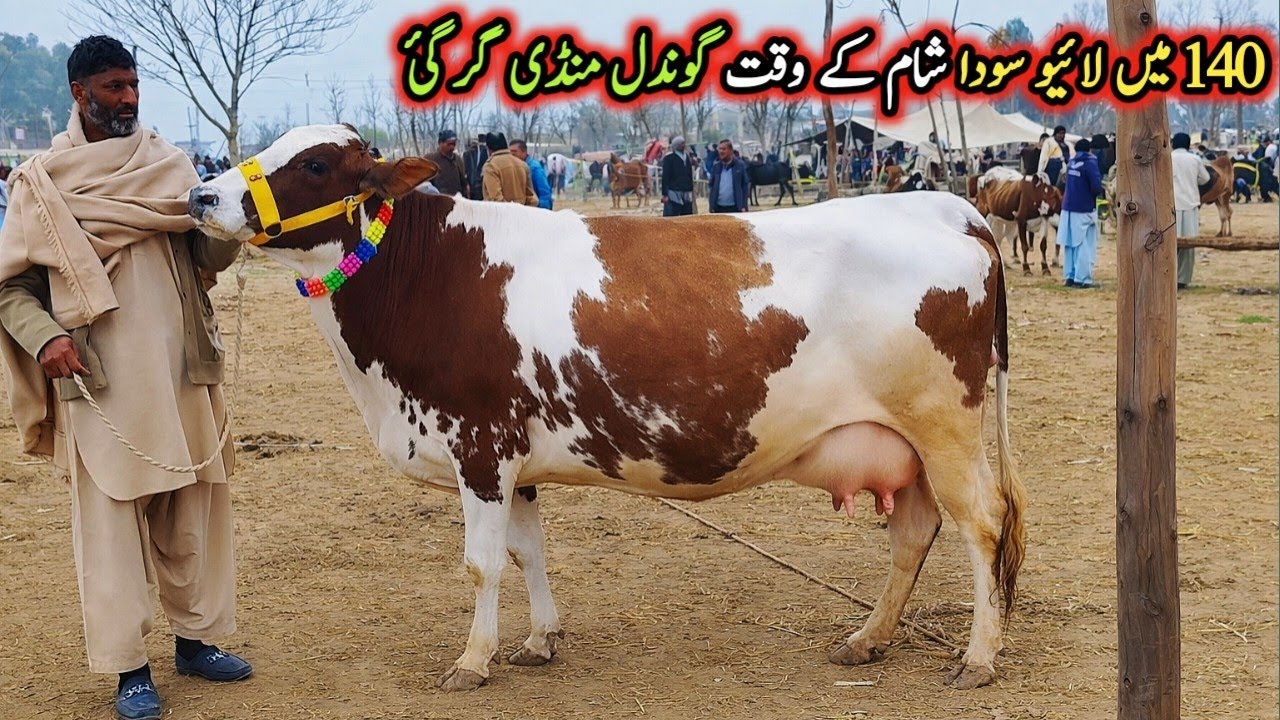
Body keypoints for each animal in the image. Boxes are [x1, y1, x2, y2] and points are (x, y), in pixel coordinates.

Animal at [188, 125, 1026, 693]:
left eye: (314, 163)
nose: (200, 195)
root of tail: (948, 207)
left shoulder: (480, 447)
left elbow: (481, 562)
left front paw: (472, 660)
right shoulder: (515, 459)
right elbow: (527, 552)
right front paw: (539, 639)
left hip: (945, 426)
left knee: (984, 524)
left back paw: (979, 657)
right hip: (903, 440)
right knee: (914, 533)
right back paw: (869, 638)